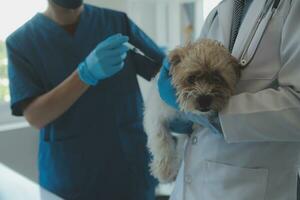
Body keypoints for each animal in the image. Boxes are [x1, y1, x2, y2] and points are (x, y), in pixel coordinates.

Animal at [143, 38, 241, 183]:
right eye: (191, 78)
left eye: (217, 78)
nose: (204, 99)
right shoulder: (155, 116)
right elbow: (162, 141)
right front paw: (165, 171)